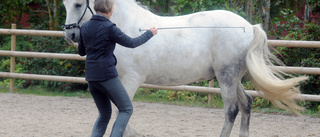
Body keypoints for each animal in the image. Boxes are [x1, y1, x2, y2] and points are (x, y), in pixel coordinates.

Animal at [62, 0, 308, 136]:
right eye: (65, 4)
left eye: (78, 4)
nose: (70, 34)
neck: (128, 27)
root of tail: (248, 26)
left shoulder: (131, 79)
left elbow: (121, 110)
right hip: (233, 78)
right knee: (246, 104)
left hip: (226, 77)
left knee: (231, 110)